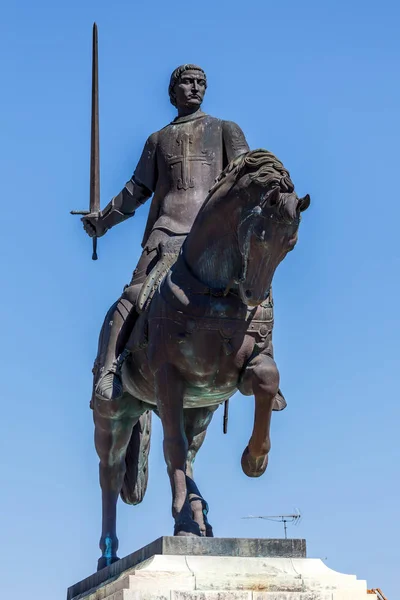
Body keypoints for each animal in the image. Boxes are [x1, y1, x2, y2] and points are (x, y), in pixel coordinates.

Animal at [92, 149, 310, 568]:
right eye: (260, 233)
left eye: (290, 244)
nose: (254, 297)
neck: (215, 292)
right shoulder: (168, 379)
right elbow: (171, 448)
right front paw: (181, 517)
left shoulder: (233, 376)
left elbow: (266, 380)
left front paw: (254, 460)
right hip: (115, 416)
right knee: (110, 473)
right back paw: (110, 552)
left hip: (201, 410)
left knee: (190, 457)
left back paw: (197, 517)